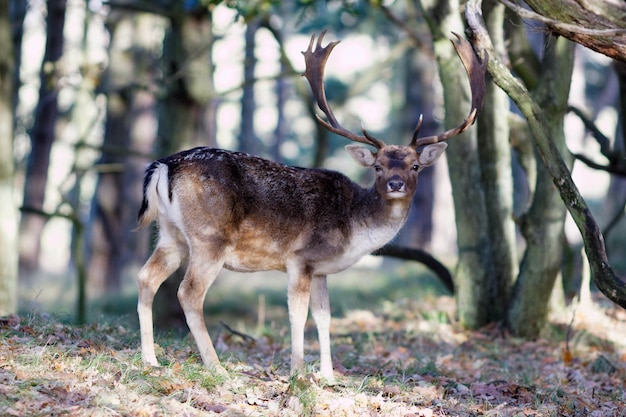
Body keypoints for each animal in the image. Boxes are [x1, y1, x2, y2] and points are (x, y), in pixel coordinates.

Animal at [136, 30, 486, 382]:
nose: (396, 184)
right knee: (189, 292)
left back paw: (150, 360)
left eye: (415, 166)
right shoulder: (300, 258)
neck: (354, 229)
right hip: (209, 237)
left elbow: (323, 317)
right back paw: (216, 366)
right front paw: (298, 371)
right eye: (378, 167)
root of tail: (165, 165)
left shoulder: (320, 270)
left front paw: (328, 375)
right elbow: (298, 314)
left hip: (171, 235)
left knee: (146, 278)